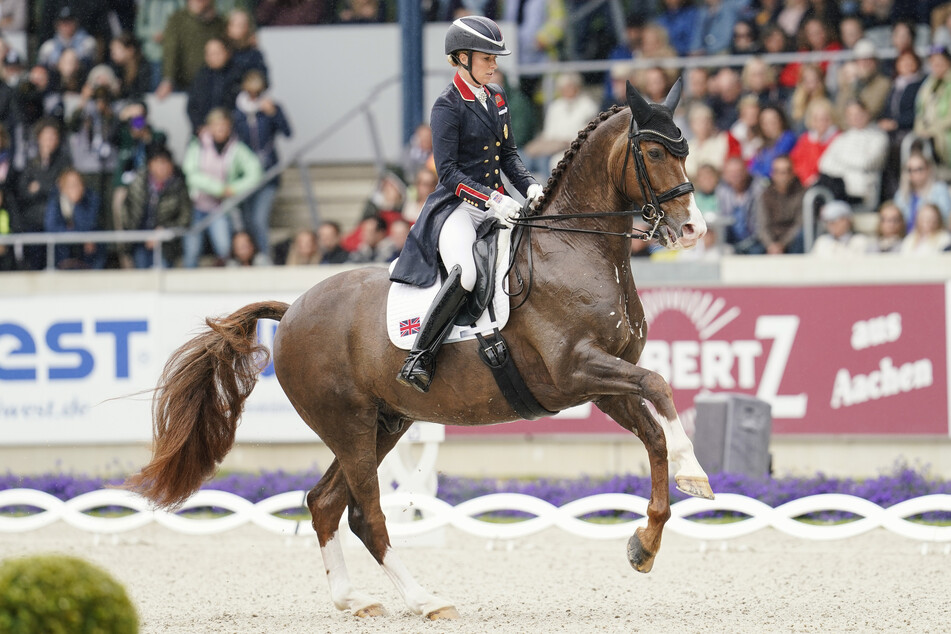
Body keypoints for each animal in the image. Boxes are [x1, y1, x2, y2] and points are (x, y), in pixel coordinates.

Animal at [122, 79, 712, 616]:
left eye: (685, 149)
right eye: (655, 152)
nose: (693, 229)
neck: (573, 247)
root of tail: (291, 313)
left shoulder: (603, 382)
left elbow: (654, 434)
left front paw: (645, 544)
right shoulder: (577, 370)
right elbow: (660, 386)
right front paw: (697, 474)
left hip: (384, 422)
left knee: (325, 503)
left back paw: (354, 599)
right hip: (349, 425)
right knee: (366, 514)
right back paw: (425, 600)